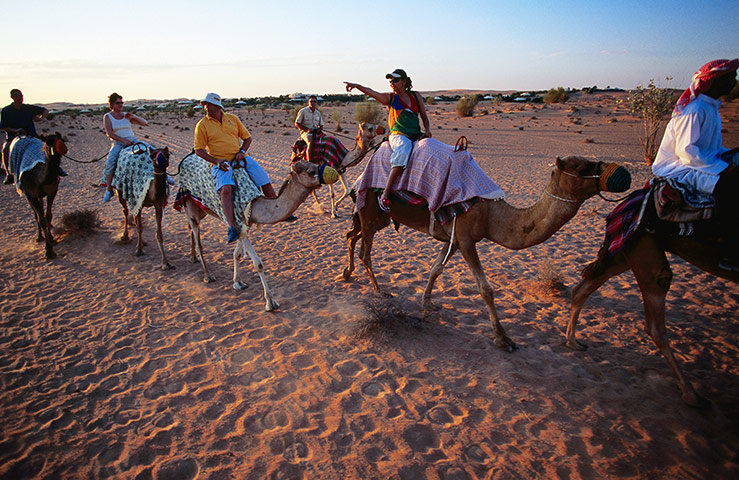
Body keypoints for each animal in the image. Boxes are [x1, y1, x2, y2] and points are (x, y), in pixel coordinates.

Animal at [181, 160, 337, 311]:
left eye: (316, 164)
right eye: (310, 171)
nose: (334, 172)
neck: (255, 203)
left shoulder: (245, 225)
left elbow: (237, 253)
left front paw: (238, 282)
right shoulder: (238, 223)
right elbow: (258, 264)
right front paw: (270, 302)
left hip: (201, 210)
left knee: (190, 228)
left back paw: (192, 258)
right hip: (190, 205)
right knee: (197, 239)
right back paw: (207, 275)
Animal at [340, 156, 630, 351]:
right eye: (581, 168)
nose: (621, 173)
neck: (493, 214)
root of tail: (358, 179)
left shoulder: (455, 239)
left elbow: (436, 269)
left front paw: (427, 302)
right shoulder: (468, 240)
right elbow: (485, 289)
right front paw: (503, 338)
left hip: (379, 217)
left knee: (352, 235)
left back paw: (347, 272)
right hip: (370, 210)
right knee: (365, 250)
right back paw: (379, 291)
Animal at [566, 212, 739, 407]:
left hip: (624, 253)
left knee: (582, 289)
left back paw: (573, 342)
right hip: (643, 254)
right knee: (656, 321)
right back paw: (692, 395)